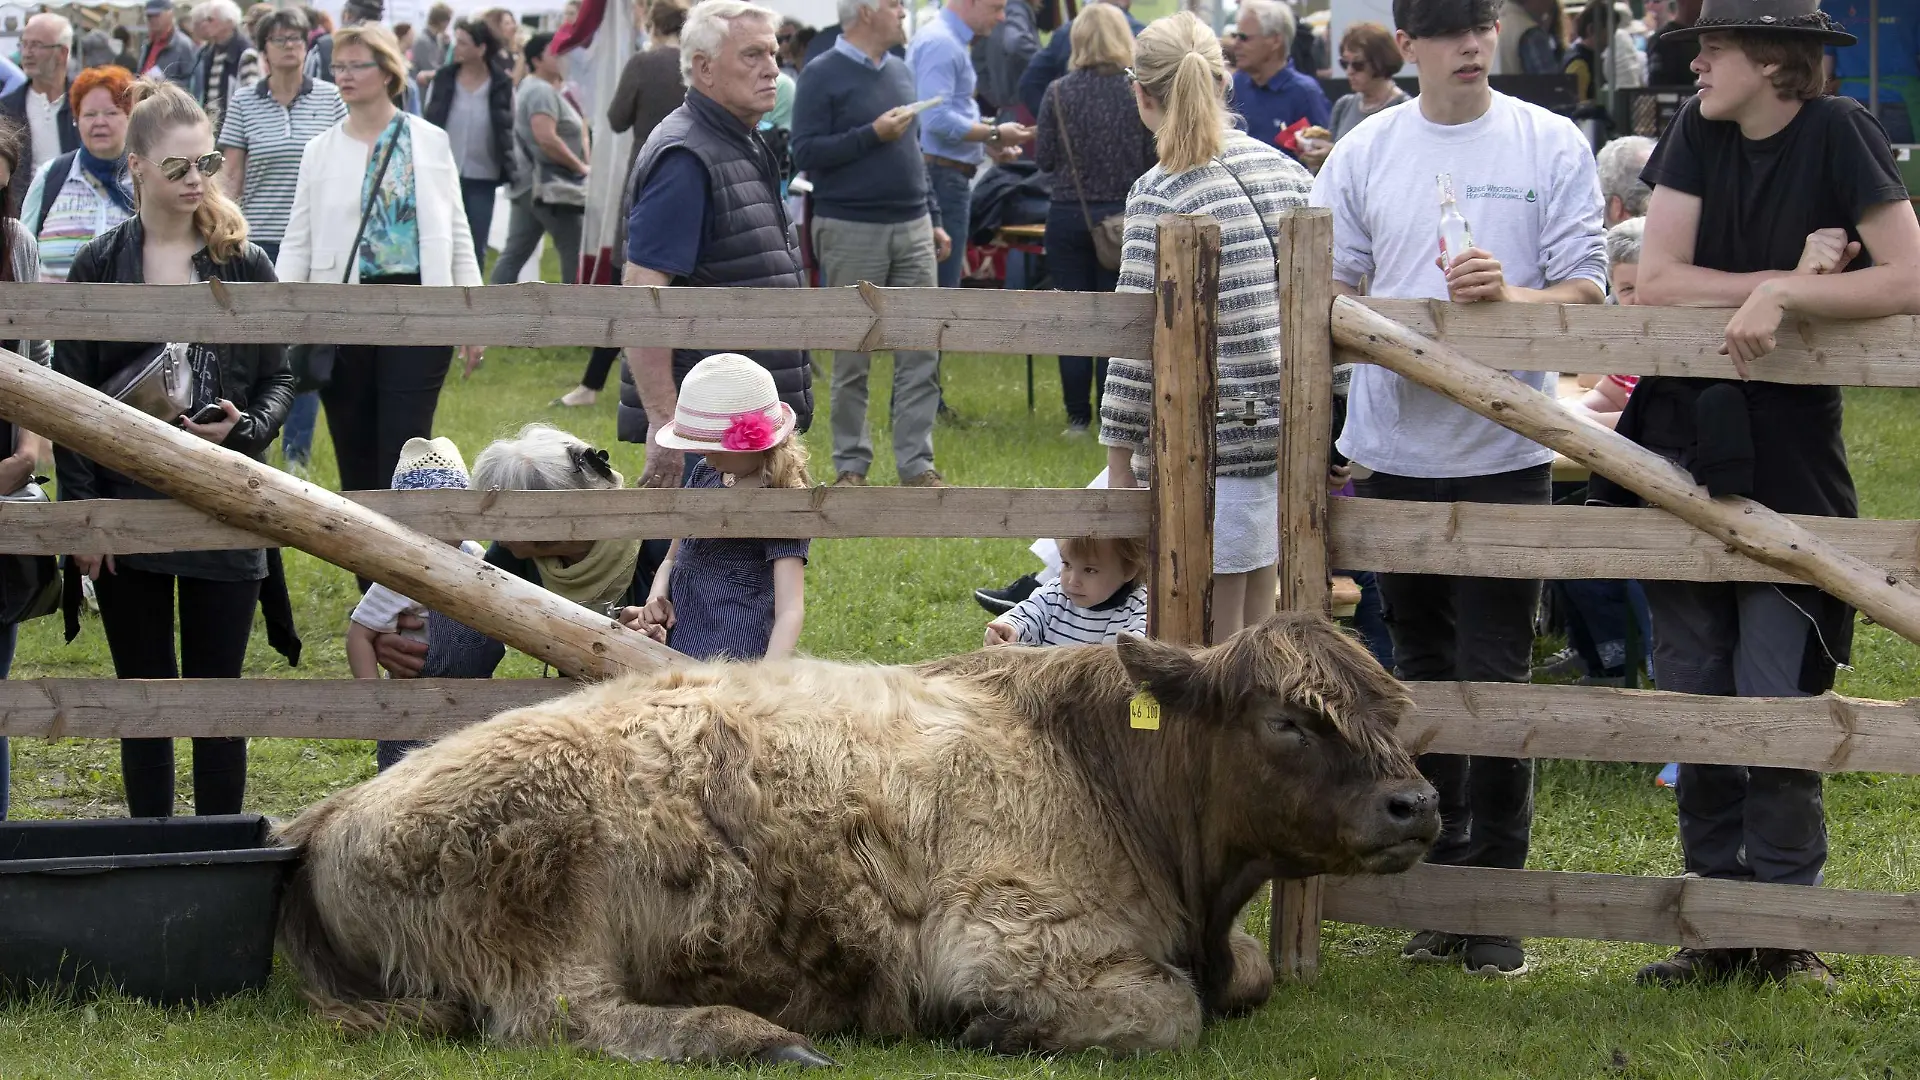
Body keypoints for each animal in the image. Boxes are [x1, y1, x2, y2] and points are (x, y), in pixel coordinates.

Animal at [274, 612, 1439, 1065]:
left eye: (1391, 709)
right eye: (1289, 720)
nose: (1417, 805)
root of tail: (334, 814)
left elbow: (1243, 975)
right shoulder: (1013, 939)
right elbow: (1172, 1010)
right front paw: (998, 1029)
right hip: (548, 923)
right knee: (564, 1019)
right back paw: (747, 1034)